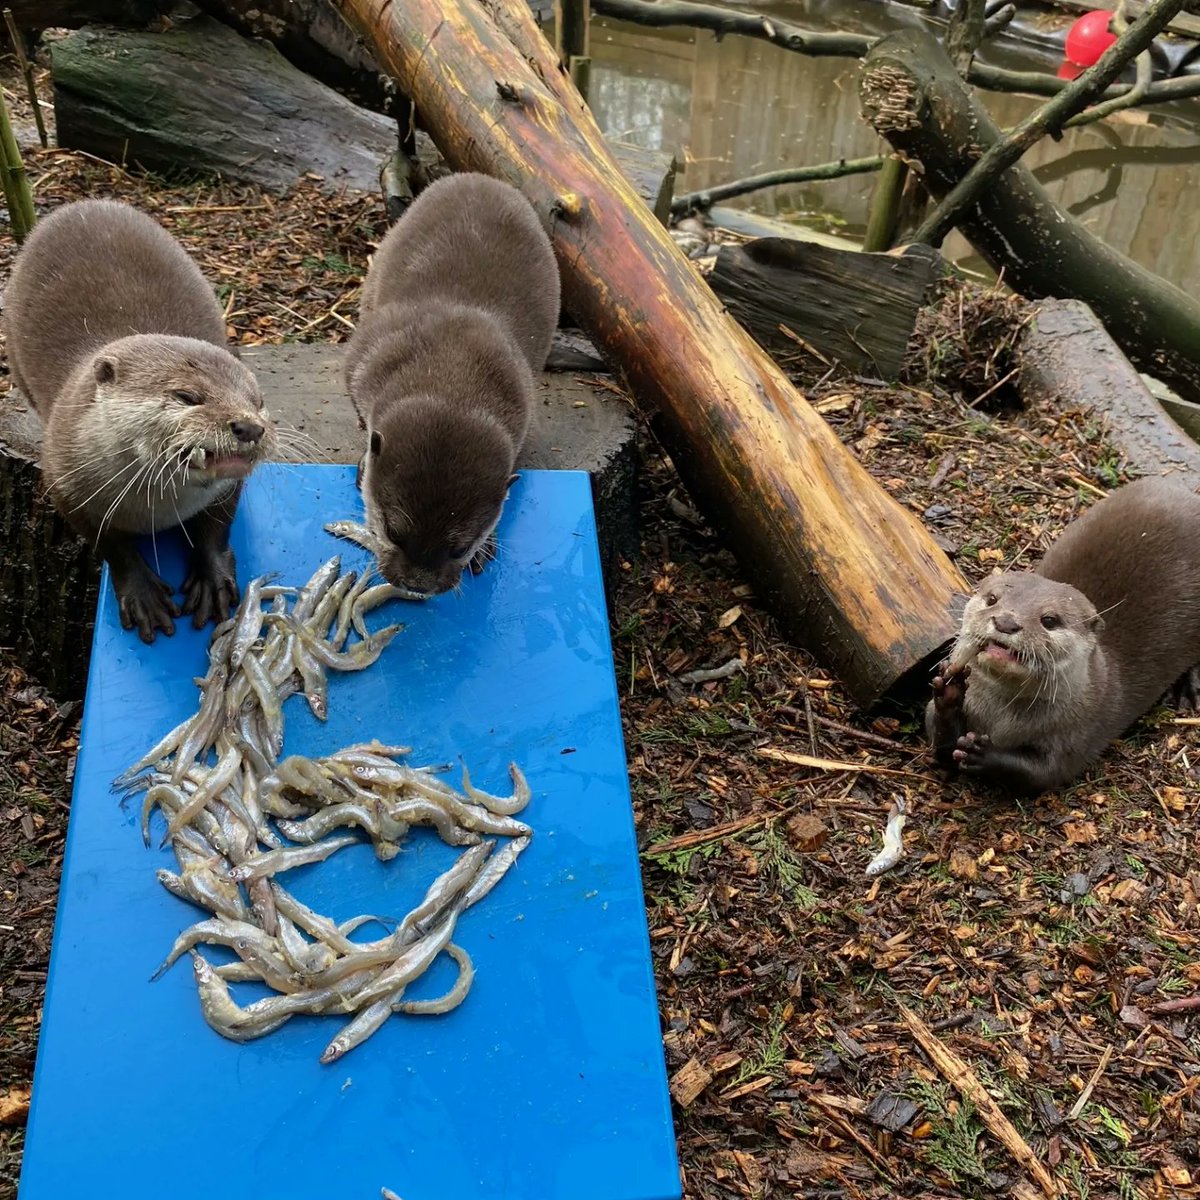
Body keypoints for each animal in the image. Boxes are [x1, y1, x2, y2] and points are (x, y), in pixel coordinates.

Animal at [3, 199, 272, 642]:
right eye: (187, 396)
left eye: (258, 400)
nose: (249, 427)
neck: (156, 511)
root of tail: (85, 204)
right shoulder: (65, 486)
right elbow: (109, 544)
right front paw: (143, 593)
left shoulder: (227, 489)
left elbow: (218, 526)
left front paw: (212, 579)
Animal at [344, 171, 560, 596]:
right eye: (393, 532)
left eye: (459, 547)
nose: (418, 584)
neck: (451, 374)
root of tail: (480, 177)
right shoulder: (361, 360)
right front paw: (362, 461)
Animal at [926, 476, 1200, 794]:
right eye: (992, 599)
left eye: (1049, 620)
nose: (1006, 622)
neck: (1000, 719)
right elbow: (939, 741)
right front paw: (949, 692)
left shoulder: (1079, 731)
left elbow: (1042, 773)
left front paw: (984, 755)